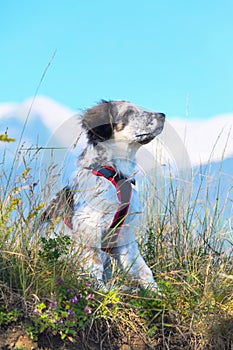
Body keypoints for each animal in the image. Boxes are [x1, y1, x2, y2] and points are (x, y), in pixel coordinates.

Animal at [41, 100, 166, 292]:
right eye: (129, 112)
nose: (163, 115)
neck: (116, 174)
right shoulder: (89, 225)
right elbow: (94, 264)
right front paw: (100, 290)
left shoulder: (125, 234)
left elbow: (143, 269)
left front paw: (156, 293)